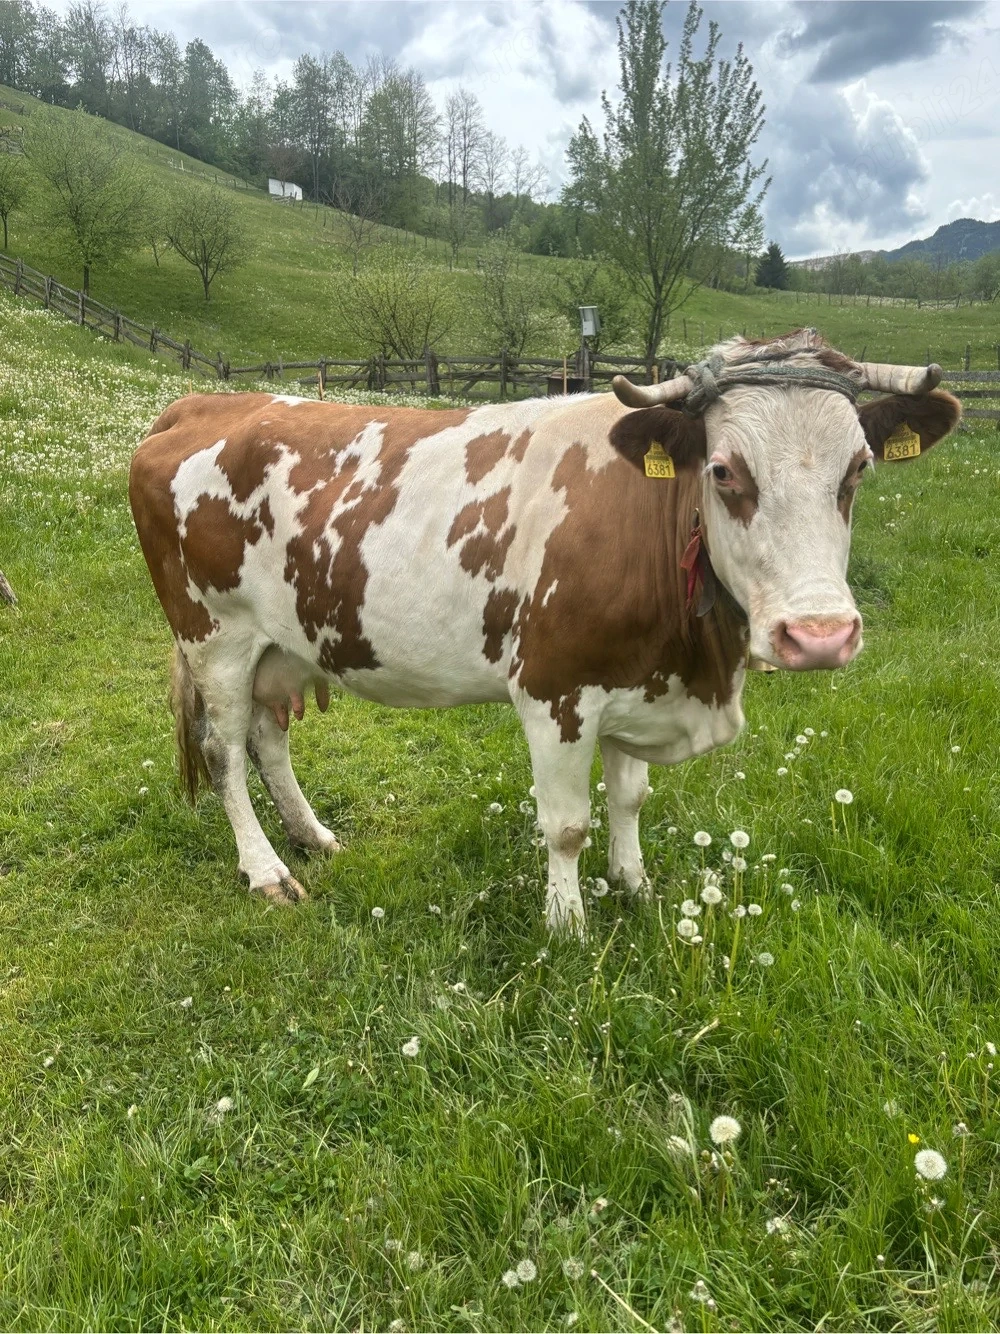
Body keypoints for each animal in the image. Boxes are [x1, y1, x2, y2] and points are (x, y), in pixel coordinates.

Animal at [129, 329, 961, 933]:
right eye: (724, 470)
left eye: (859, 468)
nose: (819, 634)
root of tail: (200, 403)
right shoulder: (555, 691)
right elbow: (565, 825)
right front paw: (568, 927)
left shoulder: (638, 682)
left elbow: (629, 802)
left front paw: (634, 886)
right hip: (215, 637)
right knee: (224, 752)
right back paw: (267, 869)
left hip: (282, 642)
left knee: (268, 738)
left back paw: (310, 836)